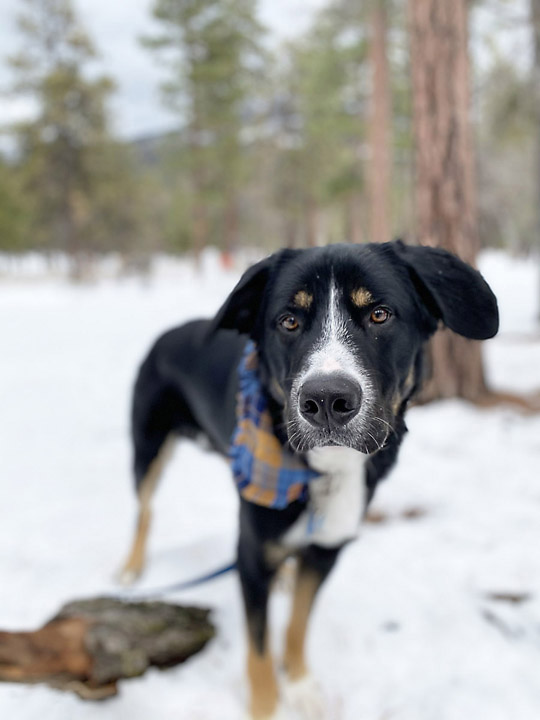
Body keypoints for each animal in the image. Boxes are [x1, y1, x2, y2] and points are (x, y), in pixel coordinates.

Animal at [120, 242, 500, 720]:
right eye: (289, 321)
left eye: (379, 314)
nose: (326, 399)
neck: (326, 469)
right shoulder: (251, 554)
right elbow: (259, 648)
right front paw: (266, 706)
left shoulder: (327, 549)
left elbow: (298, 624)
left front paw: (299, 685)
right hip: (148, 449)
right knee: (144, 509)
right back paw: (131, 567)